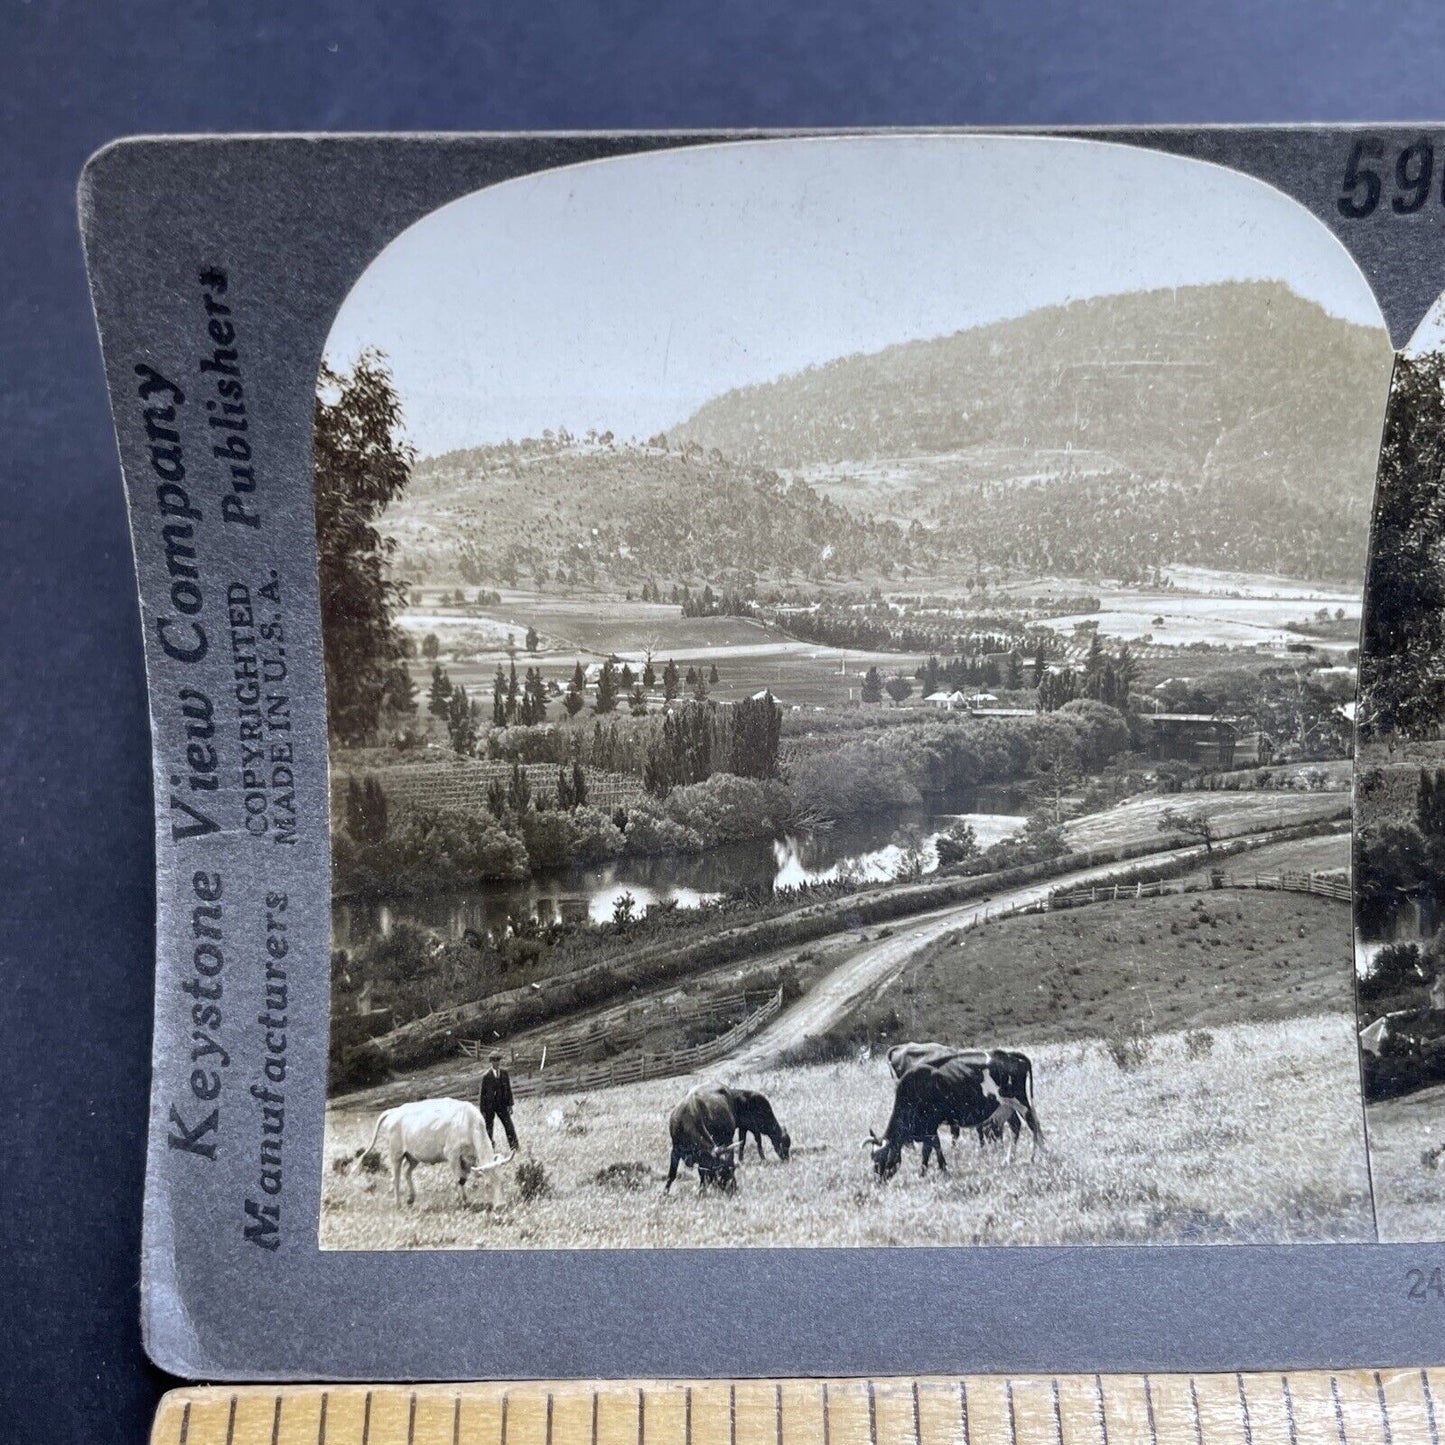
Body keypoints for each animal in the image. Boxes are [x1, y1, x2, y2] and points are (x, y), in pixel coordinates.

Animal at [355, 1092, 514, 1208]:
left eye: (503, 1180)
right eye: (489, 1183)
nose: (501, 1205)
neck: (467, 1123)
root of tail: (394, 1111)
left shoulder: (467, 1159)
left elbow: (463, 1178)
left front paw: (461, 1198)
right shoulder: (452, 1155)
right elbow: (459, 1179)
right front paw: (463, 1201)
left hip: (412, 1156)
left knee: (407, 1172)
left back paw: (411, 1198)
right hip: (396, 1153)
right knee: (396, 1178)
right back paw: (398, 1204)